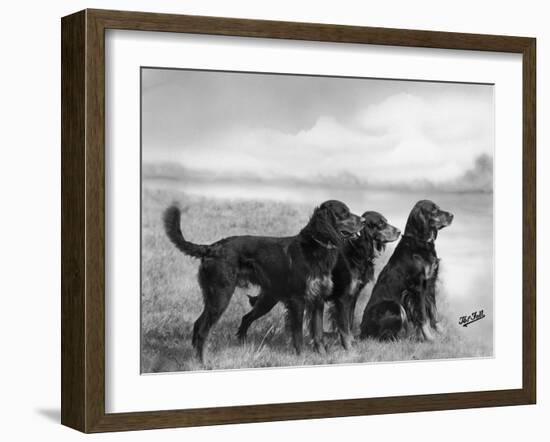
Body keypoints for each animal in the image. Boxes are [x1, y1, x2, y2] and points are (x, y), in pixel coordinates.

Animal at [164, 201, 364, 362]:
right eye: (344, 213)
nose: (362, 220)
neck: (315, 247)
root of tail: (211, 248)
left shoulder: (318, 300)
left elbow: (319, 332)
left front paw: (322, 356)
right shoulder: (298, 300)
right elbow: (298, 334)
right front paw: (301, 357)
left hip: (260, 299)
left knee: (211, 323)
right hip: (220, 296)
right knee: (203, 329)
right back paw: (203, 362)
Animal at [242, 212, 402, 352]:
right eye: (381, 224)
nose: (400, 232)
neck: (355, 251)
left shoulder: (353, 296)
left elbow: (349, 323)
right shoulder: (343, 298)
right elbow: (344, 326)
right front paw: (348, 348)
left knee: (248, 317)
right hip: (270, 298)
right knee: (248, 317)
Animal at [360, 200, 454, 342]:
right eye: (434, 210)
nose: (452, 215)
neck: (420, 242)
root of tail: (362, 331)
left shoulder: (430, 283)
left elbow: (433, 313)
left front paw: (441, 334)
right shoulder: (417, 287)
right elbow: (423, 316)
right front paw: (430, 338)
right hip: (395, 305)